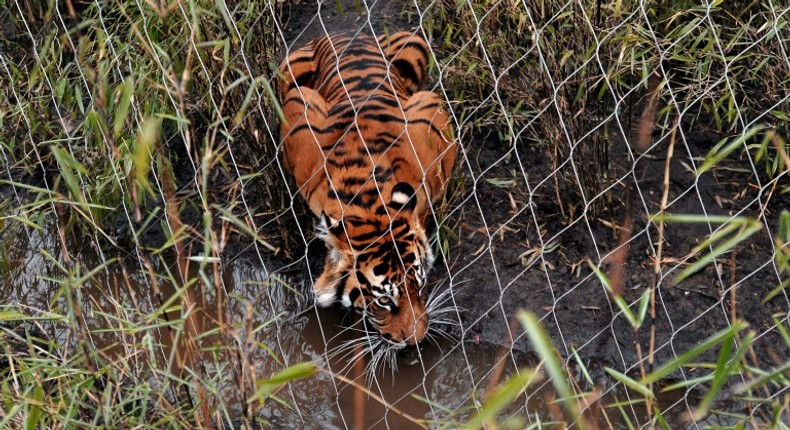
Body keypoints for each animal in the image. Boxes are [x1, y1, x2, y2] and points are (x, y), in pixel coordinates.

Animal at [278, 31, 458, 350]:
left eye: (420, 283)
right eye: (383, 300)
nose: (416, 340)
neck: (369, 201)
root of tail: (343, 34)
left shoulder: (432, 116)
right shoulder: (299, 114)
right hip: (287, 73)